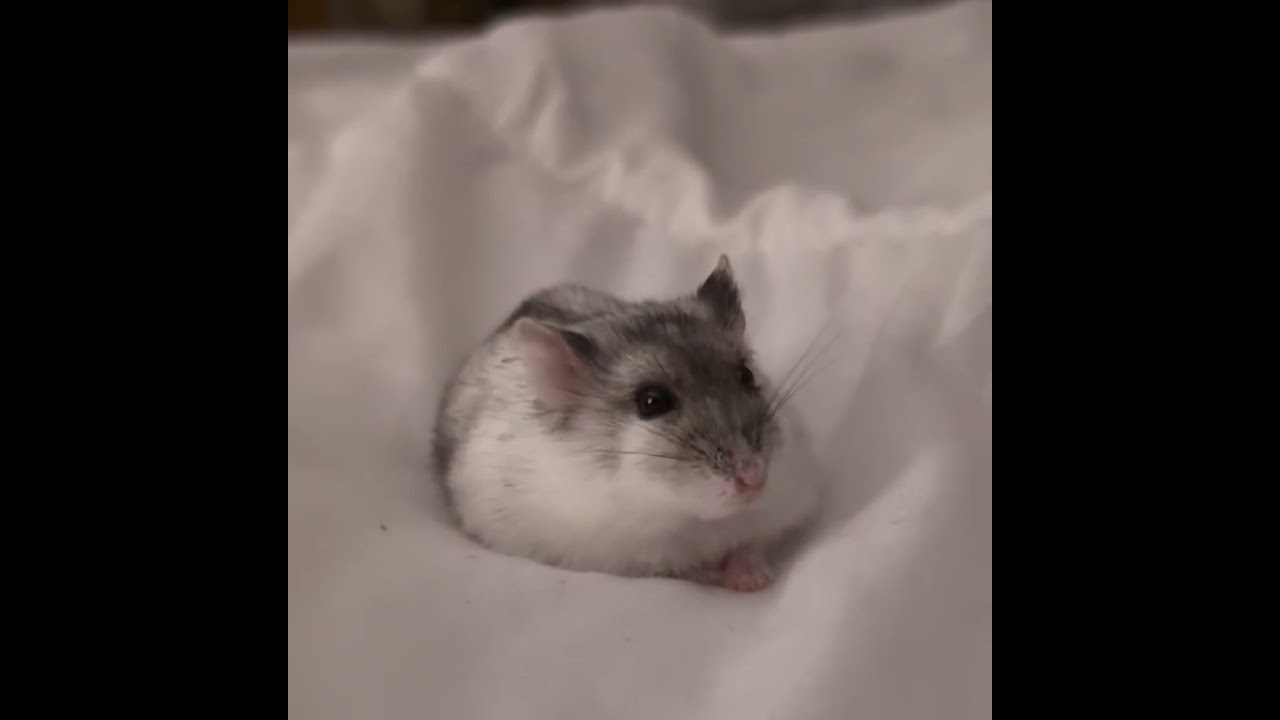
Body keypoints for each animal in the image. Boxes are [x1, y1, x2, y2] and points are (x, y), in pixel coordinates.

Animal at [432, 255, 819, 592]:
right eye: (651, 402)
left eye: (747, 375)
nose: (754, 477)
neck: (690, 517)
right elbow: (684, 567)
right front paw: (735, 580)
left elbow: (750, 543)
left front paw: (754, 579)